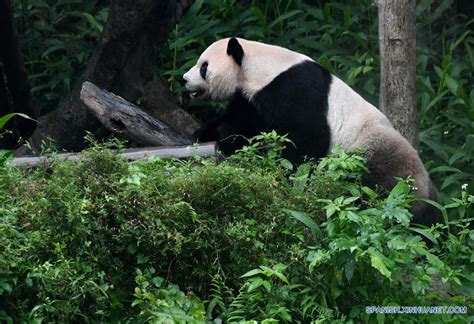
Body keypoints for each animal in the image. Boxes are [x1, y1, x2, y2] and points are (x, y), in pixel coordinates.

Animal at [184, 38, 440, 225]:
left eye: (204, 66)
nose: (184, 79)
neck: (259, 67)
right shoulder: (251, 100)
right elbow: (239, 126)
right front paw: (204, 135)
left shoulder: (294, 91)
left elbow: (307, 141)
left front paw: (289, 178)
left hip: (376, 156)